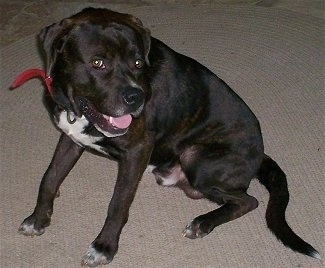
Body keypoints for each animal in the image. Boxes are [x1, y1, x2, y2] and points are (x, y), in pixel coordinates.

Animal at [15, 7, 318, 266]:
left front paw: (104, 247)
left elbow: (118, 204)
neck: (77, 108)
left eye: (139, 63)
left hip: (196, 159)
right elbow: (50, 178)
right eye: (97, 62)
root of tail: (261, 154)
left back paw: (202, 223)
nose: (136, 97)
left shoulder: (137, 151)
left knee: (248, 201)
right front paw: (38, 219)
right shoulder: (70, 138)